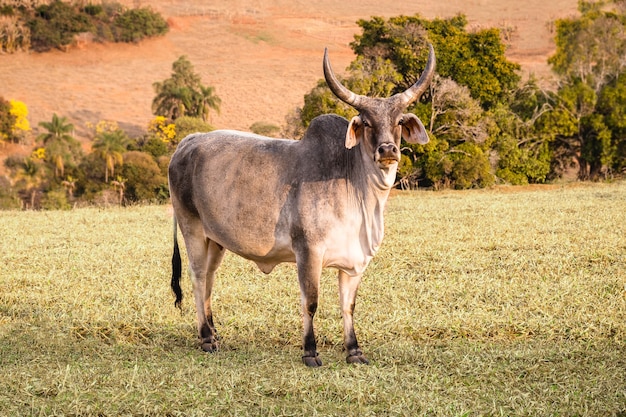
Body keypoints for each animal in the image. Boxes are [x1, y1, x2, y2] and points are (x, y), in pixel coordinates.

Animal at [168, 44, 436, 366]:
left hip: (215, 240)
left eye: (398, 122)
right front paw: (310, 351)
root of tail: (187, 142)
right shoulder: (308, 252)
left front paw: (354, 350)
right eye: (367, 123)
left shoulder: (354, 263)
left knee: (209, 278)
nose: (387, 150)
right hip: (192, 229)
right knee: (197, 278)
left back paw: (214, 331)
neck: (357, 191)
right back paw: (206, 338)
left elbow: (348, 306)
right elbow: (311, 303)